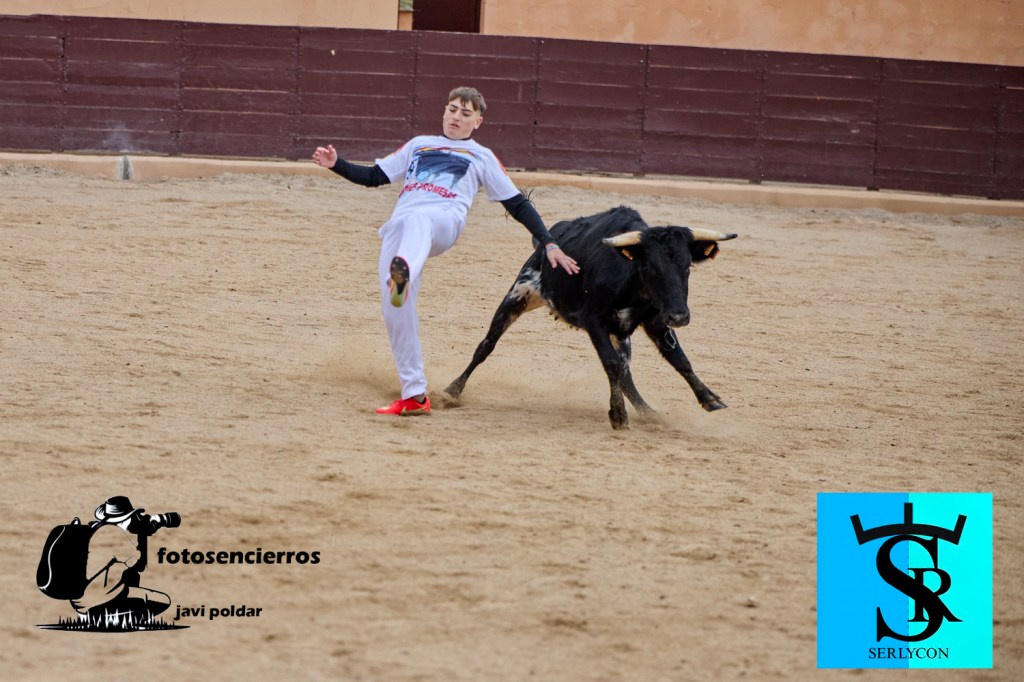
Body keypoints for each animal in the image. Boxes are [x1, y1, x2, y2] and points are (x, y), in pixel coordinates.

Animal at [443, 206, 738, 429]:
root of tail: (548, 239)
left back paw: (649, 412)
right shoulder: (594, 320)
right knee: (486, 345)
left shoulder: (655, 321)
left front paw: (710, 399)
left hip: (619, 332)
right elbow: (611, 364)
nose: (679, 316)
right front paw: (618, 415)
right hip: (519, 294)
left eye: (687, 266)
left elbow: (680, 360)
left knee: (627, 374)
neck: (631, 282)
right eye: (652, 267)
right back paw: (451, 391)